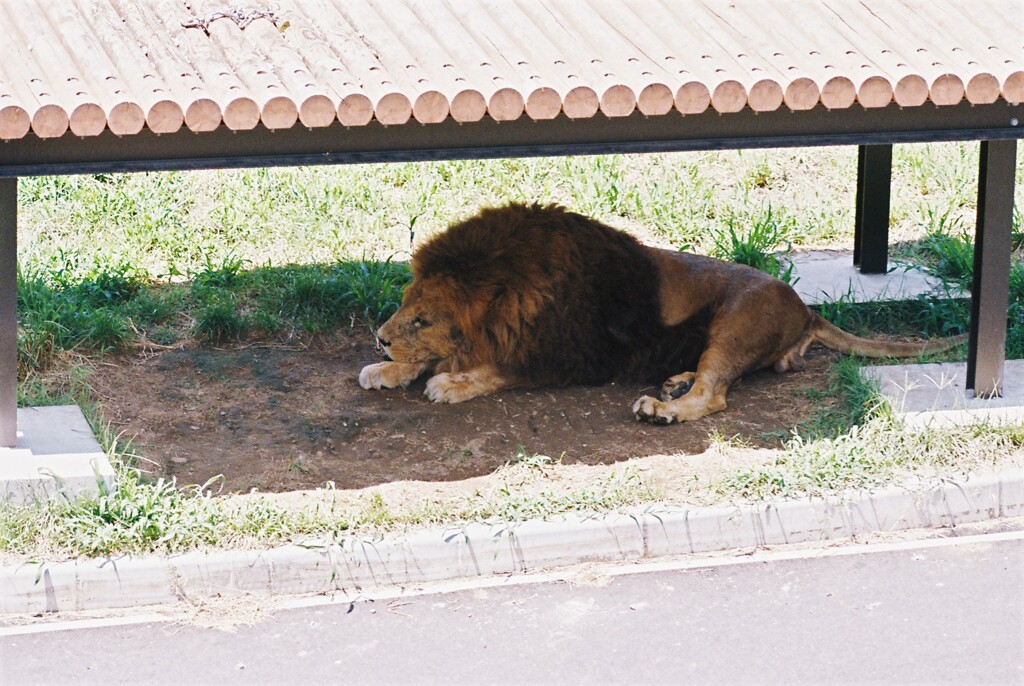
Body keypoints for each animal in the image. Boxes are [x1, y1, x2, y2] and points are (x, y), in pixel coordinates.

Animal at [358, 202, 958, 423]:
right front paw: (388, 368)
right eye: (405, 306)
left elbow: (498, 367)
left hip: (737, 321)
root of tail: (804, 307)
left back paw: (664, 406)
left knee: (715, 394)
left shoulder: (578, 357)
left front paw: (449, 381)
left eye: (423, 317)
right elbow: (437, 359)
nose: (380, 337)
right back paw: (674, 382)